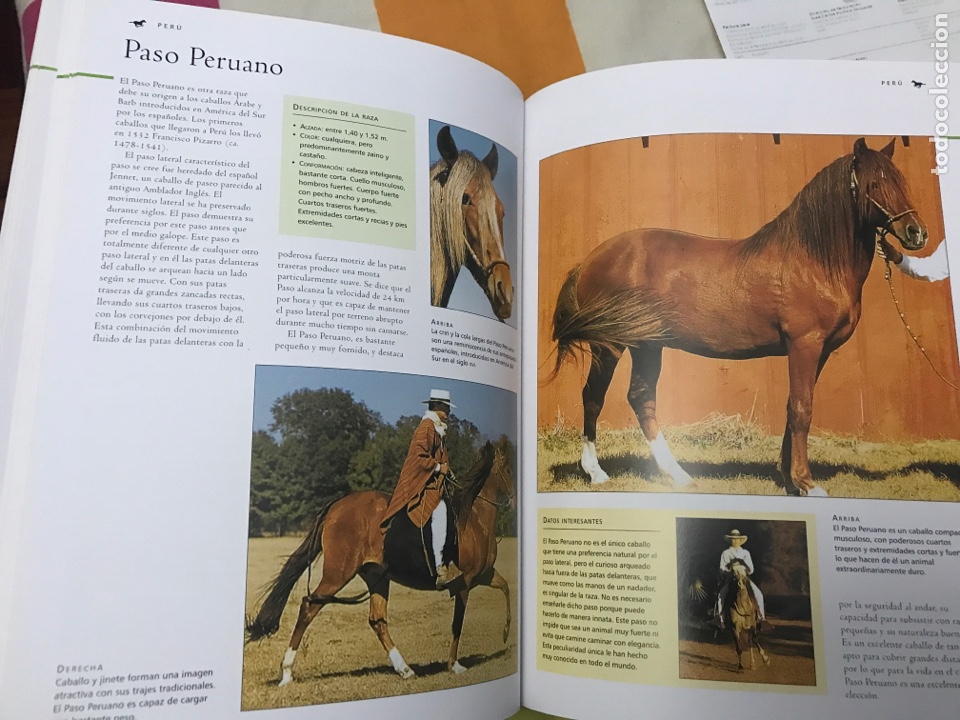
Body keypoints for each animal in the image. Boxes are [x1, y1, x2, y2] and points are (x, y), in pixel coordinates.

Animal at [245, 442, 515, 686]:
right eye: (509, 469)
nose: (512, 501)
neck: (473, 518)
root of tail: (336, 506)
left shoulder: (485, 575)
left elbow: (506, 588)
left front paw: (505, 633)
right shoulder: (465, 582)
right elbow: (458, 624)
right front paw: (454, 665)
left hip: (376, 577)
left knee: (377, 620)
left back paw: (404, 669)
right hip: (338, 575)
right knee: (309, 607)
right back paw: (287, 672)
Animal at [550, 138, 928, 496]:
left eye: (900, 180)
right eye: (874, 184)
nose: (917, 233)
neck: (811, 261)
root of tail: (590, 260)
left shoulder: (817, 352)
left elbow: (792, 408)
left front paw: (789, 480)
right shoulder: (804, 345)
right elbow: (802, 410)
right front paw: (807, 483)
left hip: (647, 344)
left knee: (641, 398)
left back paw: (679, 476)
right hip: (609, 345)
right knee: (593, 397)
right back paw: (596, 473)